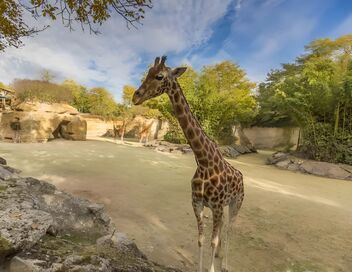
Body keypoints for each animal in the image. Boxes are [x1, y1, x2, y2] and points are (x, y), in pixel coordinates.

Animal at [132, 56, 245, 270]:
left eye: (159, 76)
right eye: (148, 72)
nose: (135, 96)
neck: (203, 161)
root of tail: (241, 175)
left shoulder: (217, 205)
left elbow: (212, 241)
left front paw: (212, 268)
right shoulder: (197, 203)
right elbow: (201, 239)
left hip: (237, 202)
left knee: (229, 229)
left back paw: (225, 263)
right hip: (222, 207)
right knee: (223, 227)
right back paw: (220, 256)